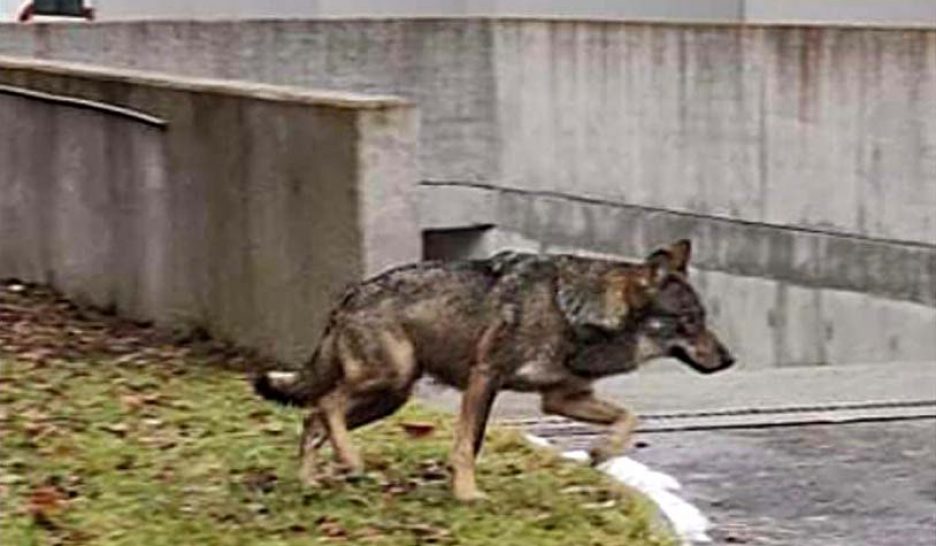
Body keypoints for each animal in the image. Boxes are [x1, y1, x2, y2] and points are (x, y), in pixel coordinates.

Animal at [253, 240, 734, 501]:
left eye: (704, 318)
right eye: (689, 321)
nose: (730, 360)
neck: (575, 313)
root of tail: (348, 295)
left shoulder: (562, 398)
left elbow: (629, 417)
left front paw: (601, 453)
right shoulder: (486, 378)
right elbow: (468, 445)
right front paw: (467, 495)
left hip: (390, 397)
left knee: (312, 418)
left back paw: (312, 482)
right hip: (387, 382)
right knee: (325, 405)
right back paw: (349, 462)